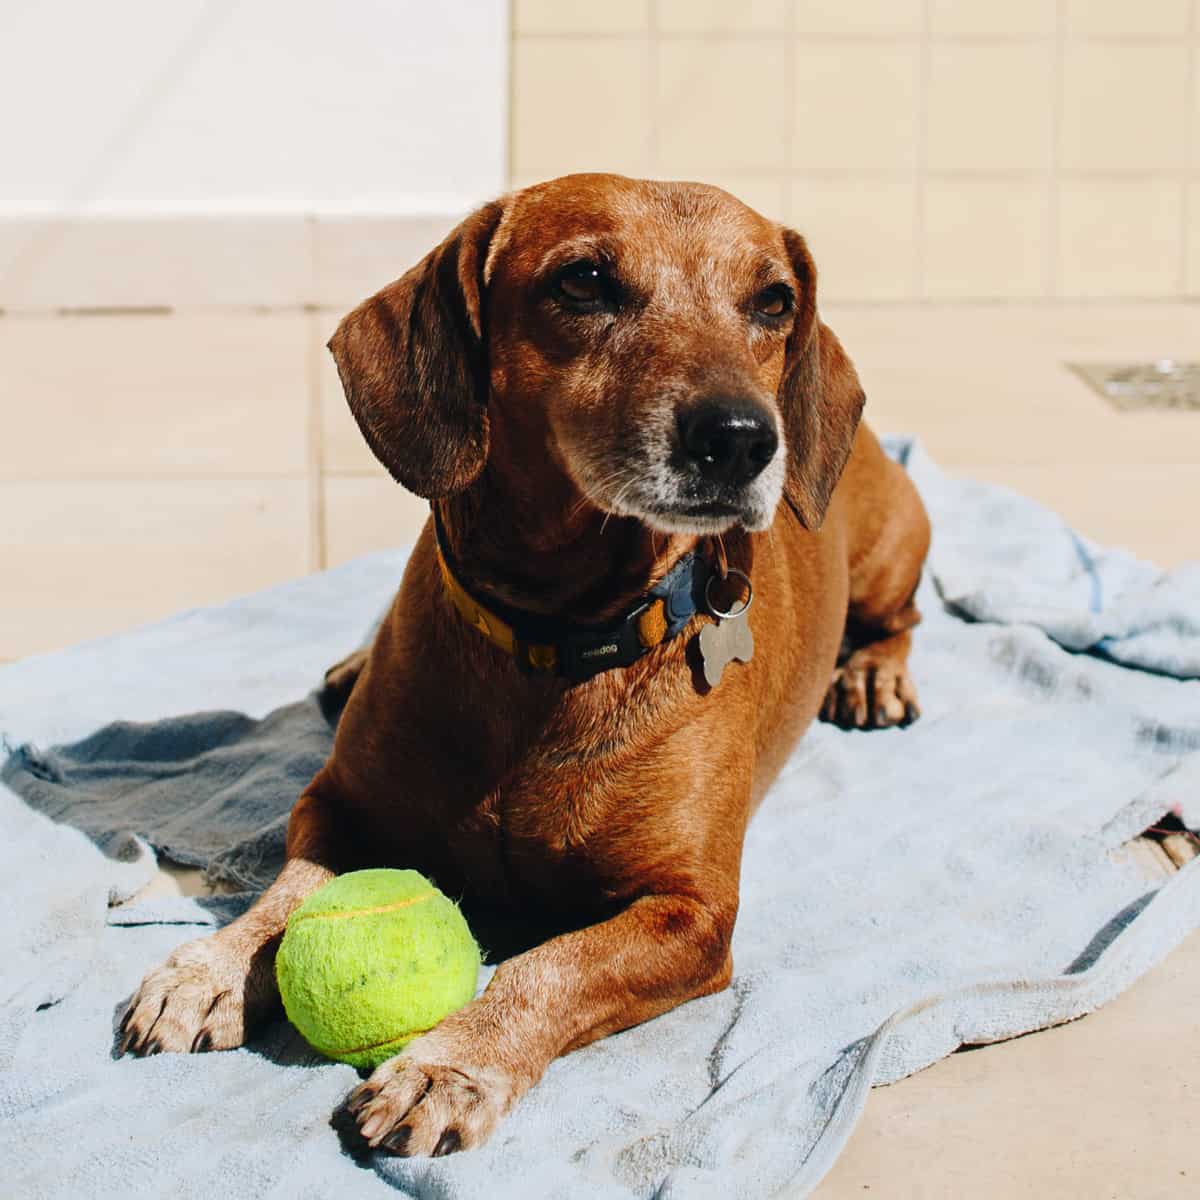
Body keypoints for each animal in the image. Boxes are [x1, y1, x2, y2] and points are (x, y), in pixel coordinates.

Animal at [119, 174, 926, 1156]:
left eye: (773, 302)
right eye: (585, 280)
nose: (742, 439)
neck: (554, 639)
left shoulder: (691, 913)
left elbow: (549, 966)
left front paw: (448, 1066)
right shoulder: (334, 804)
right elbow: (290, 894)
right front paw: (211, 967)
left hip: (891, 553)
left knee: (905, 617)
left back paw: (873, 674)